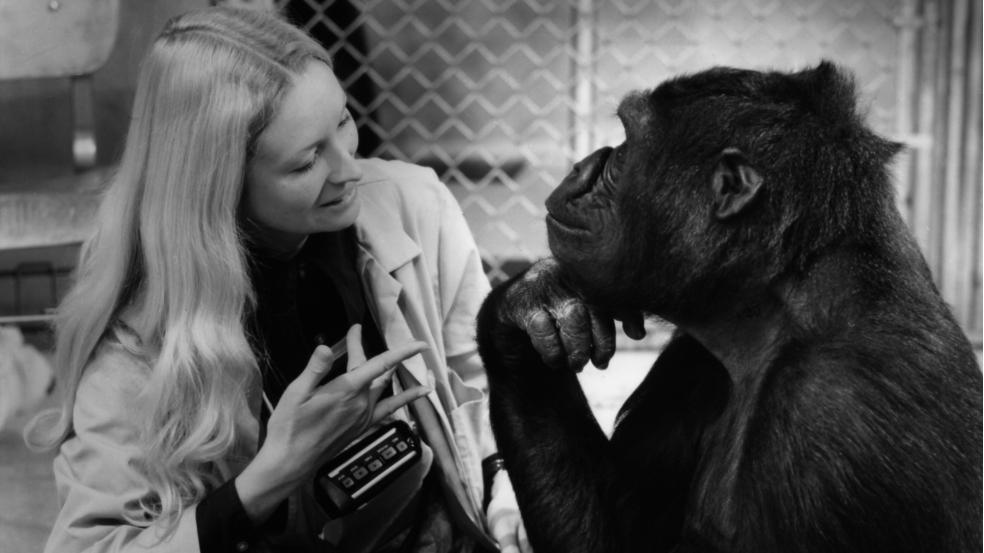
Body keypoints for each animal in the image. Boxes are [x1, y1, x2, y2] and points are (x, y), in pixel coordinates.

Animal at [474, 62, 976, 552]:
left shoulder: (832, 413)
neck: (776, 298)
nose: (584, 164)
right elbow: (619, 529)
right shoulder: (692, 352)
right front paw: (536, 299)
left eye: (628, 143)